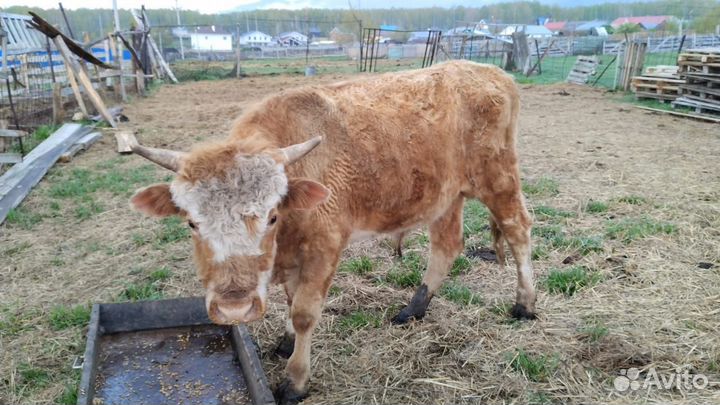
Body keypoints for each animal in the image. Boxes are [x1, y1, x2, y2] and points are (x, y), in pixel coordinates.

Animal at [128, 60, 535, 404]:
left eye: (272, 216)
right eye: (191, 222)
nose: (235, 307)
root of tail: (492, 72)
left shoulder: (324, 247)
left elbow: (304, 312)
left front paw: (295, 380)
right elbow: (290, 302)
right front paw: (286, 342)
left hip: (498, 178)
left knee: (518, 231)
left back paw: (525, 303)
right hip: (445, 196)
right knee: (447, 245)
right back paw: (414, 308)